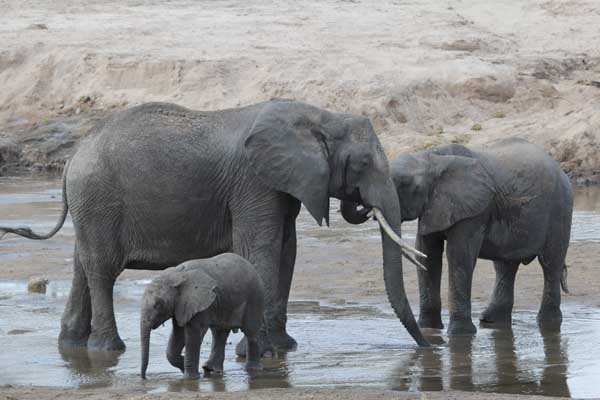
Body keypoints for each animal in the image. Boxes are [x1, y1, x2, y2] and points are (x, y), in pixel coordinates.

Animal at [1, 98, 432, 352]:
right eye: (363, 163)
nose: (427, 349)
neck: (318, 116)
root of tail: (71, 158)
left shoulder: (282, 184)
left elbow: (287, 250)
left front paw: (284, 348)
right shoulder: (255, 182)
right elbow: (261, 248)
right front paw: (259, 352)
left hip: (91, 206)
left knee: (83, 265)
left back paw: (72, 345)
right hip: (99, 197)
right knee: (103, 270)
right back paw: (109, 351)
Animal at [142, 252, 264, 380]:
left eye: (158, 304)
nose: (144, 378)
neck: (176, 274)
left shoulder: (199, 303)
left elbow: (193, 335)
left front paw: (190, 378)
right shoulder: (181, 305)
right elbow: (178, 335)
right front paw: (182, 365)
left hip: (255, 297)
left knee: (251, 332)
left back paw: (253, 370)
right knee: (219, 333)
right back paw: (210, 369)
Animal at [342, 139, 572, 336]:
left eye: (406, 184)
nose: (366, 207)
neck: (433, 158)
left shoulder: (474, 209)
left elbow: (459, 256)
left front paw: (459, 335)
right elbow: (427, 255)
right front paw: (429, 330)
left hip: (560, 210)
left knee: (550, 264)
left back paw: (548, 324)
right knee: (505, 266)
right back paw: (491, 321)